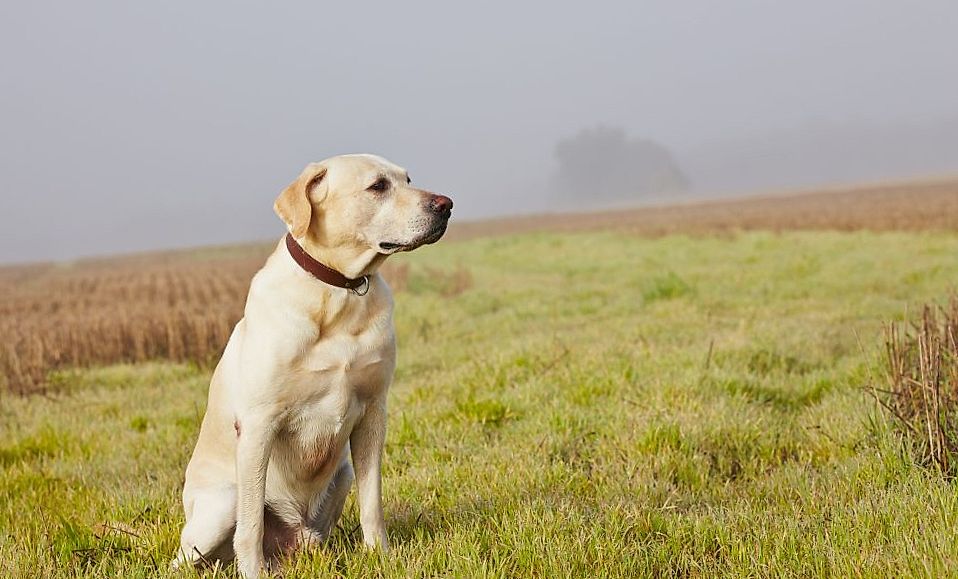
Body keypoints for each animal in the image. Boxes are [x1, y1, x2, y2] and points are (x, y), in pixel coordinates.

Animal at [172, 153, 454, 576]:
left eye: (408, 179)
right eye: (378, 186)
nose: (446, 205)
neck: (339, 292)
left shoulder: (374, 413)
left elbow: (372, 502)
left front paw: (380, 556)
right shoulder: (257, 425)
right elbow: (251, 524)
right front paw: (252, 572)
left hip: (342, 474)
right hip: (221, 505)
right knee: (192, 553)